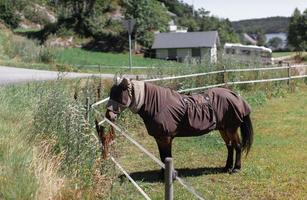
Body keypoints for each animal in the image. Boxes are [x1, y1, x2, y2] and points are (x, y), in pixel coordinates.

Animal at [104, 77, 254, 174]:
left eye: (118, 95)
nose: (109, 116)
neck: (158, 105)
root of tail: (235, 96)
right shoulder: (159, 138)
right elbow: (162, 157)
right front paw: (163, 174)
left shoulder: (166, 138)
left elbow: (166, 156)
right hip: (223, 129)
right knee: (230, 146)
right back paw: (226, 167)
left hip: (231, 128)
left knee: (237, 146)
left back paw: (236, 168)